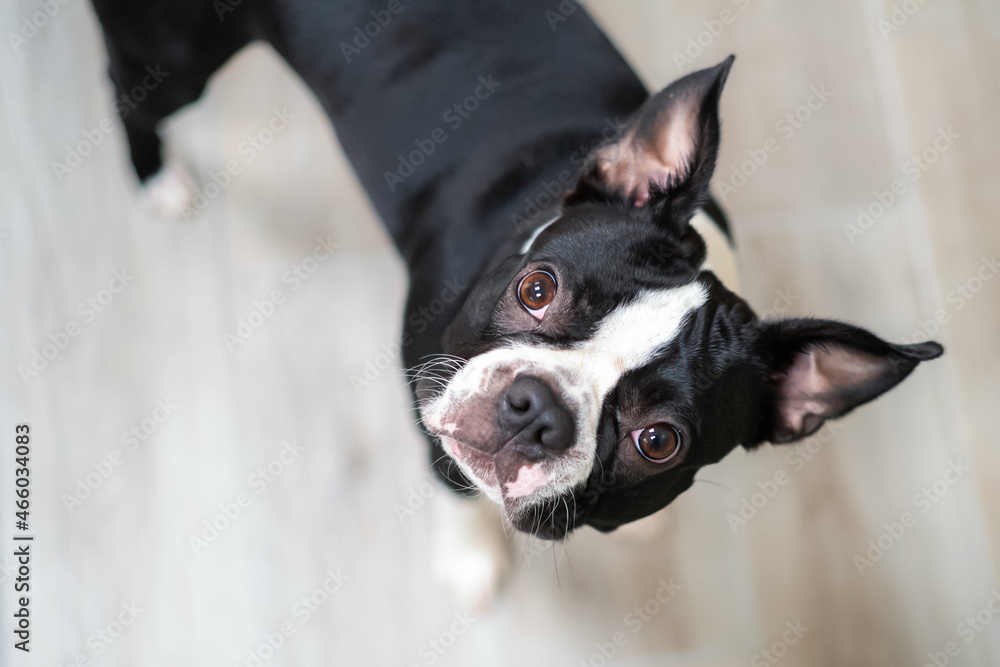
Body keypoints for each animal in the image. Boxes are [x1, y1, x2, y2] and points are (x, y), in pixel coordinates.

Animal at [90, 0, 940, 608]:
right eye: (537, 290)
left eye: (658, 441)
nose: (537, 408)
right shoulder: (430, 404)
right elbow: (457, 489)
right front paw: (470, 561)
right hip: (178, 53)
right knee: (130, 91)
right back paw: (154, 176)